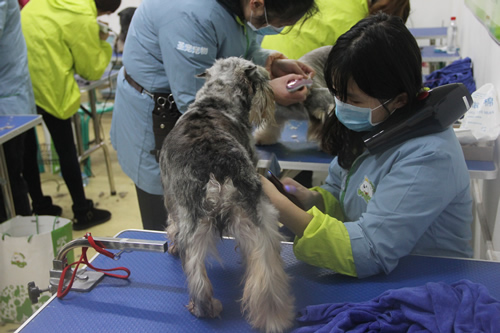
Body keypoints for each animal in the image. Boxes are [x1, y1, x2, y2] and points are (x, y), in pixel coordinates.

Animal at [159, 57, 292, 332]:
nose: (271, 94)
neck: (215, 100)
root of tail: (218, 169)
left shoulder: (170, 199)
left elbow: (171, 224)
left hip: (194, 222)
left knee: (196, 271)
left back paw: (204, 308)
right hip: (259, 217)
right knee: (266, 268)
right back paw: (273, 315)